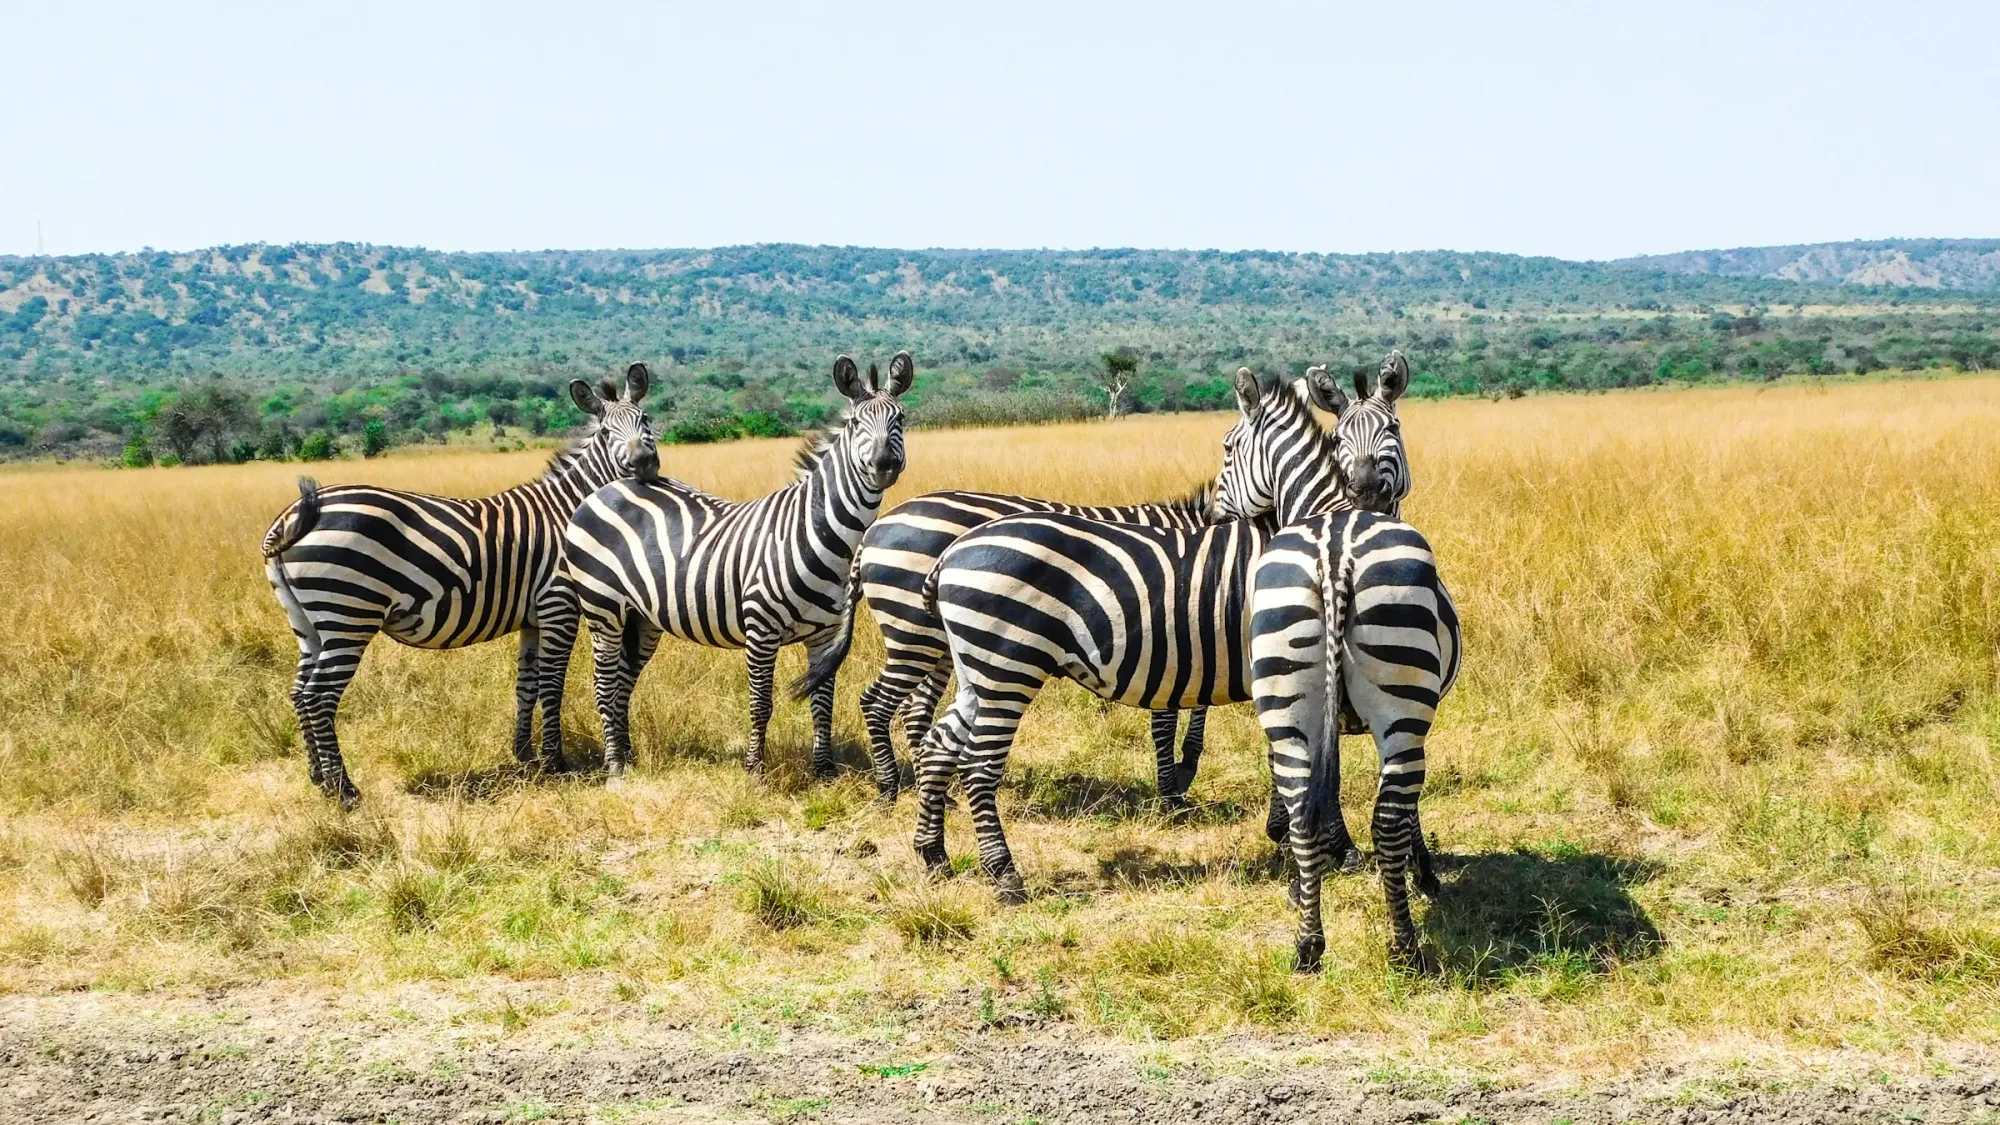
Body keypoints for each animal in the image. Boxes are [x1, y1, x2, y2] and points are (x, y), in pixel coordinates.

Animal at [260, 366, 660, 807]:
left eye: (646, 420)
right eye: (606, 432)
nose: (644, 463)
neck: (569, 512)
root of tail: (296, 513)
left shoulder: (533, 618)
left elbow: (527, 686)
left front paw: (524, 754)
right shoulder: (559, 604)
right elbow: (552, 685)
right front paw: (556, 762)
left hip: (310, 624)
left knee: (299, 692)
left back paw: (318, 779)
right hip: (348, 614)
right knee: (319, 696)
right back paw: (345, 792)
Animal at [560, 353, 910, 780]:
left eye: (900, 418)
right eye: (857, 423)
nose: (884, 464)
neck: (816, 532)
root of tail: (608, 488)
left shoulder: (825, 634)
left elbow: (823, 701)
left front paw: (825, 770)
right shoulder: (760, 629)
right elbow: (761, 704)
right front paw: (755, 770)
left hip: (642, 617)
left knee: (623, 682)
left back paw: (626, 755)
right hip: (602, 609)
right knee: (604, 684)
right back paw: (614, 767)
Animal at [855, 486, 1220, 803]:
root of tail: (877, 527)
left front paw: (1184, 768)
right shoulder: (1169, 637)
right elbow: (1170, 719)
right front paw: (1174, 785)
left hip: (941, 643)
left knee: (916, 708)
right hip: (914, 632)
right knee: (881, 702)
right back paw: (890, 787)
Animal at [912, 359, 1408, 903]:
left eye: (1393, 429)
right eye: (1227, 447)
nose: (1371, 495)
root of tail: (951, 552)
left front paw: (1287, 830)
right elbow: (1314, 758)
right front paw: (1336, 844)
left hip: (977, 672)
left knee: (939, 747)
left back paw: (933, 855)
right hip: (1007, 669)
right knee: (978, 767)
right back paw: (1004, 875)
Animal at [1247, 508, 1461, 972]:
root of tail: (1334, 550)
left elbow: (1322, 792)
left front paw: (1301, 886)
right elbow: (1410, 812)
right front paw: (1424, 873)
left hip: (1285, 700)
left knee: (1301, 817)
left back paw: (1308, 945)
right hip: (1404, 701)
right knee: (1388, 820)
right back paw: (1405, 948)